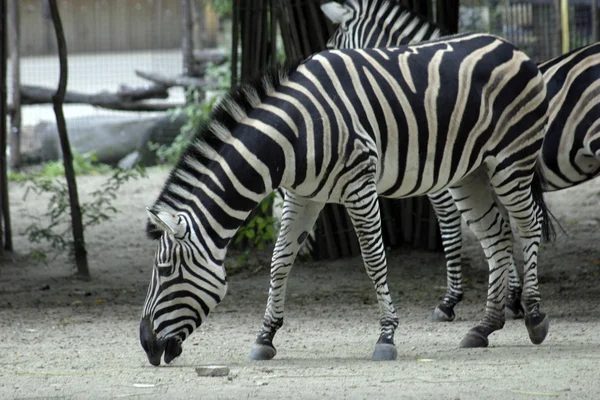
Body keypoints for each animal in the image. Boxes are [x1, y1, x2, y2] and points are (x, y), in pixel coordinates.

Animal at [138, 34, 552, 366]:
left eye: (164, 271)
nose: (145, 345)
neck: (294, 135)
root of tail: (510, 46)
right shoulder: (301, 195)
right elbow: (279, 262)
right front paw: (265, 337)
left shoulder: (360, 185)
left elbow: (373, 260)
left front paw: (386, 336)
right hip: (470, 172)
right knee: (497, 237)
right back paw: (485, 327)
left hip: (512, 158)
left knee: (528, 224)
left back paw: (534, 316)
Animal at [318, 0, 600, 324]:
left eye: (331, 46)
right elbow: (502, 231)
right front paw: (512, 298)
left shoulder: (445, 182)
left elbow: (452, 232)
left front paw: (451, 301)